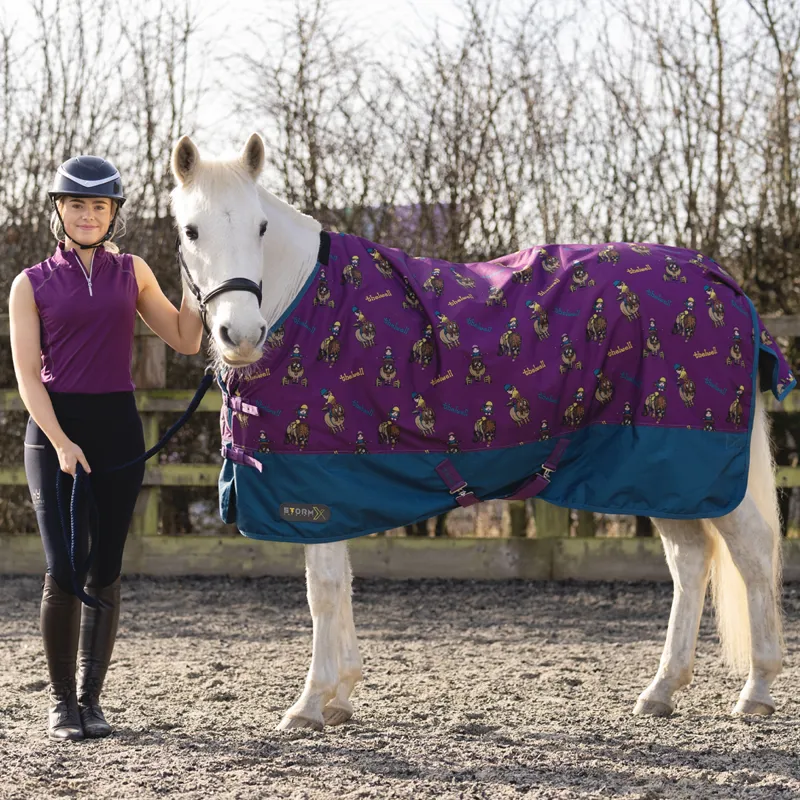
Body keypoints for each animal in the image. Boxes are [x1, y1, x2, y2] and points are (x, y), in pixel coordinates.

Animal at [169, 133, 790, 731]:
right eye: (191, 230)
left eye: (260, 227)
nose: (241, 334)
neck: (308, 305)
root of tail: (720, 281)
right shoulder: (335, 490)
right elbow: (340, 585)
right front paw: (341, 695)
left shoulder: (315, 491)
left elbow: (321, 592)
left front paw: (309, 704)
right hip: (658, 474)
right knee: (690, 561)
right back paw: (661, 690)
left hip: (698, 468)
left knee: (753, 552)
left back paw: (757, 690)